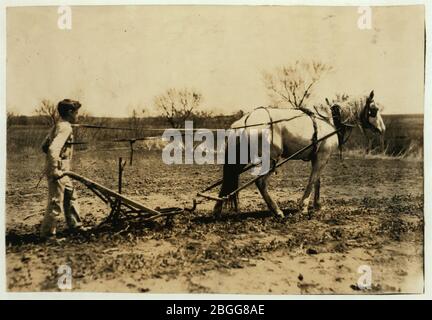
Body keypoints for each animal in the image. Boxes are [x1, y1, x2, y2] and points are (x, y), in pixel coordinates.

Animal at [214, 91, 386, 219]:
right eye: (374, 110)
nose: (382, 129)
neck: (330, 120)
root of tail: (244, 121)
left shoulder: (318, 157)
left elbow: (318, 181)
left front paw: (317, 205)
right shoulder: (322, 157)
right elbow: (312, 180)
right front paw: (303, 206)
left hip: (242, 159)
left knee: (229, 179)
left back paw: (217, 209)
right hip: (270, 160)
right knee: (261, 182)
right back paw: (277, 211)